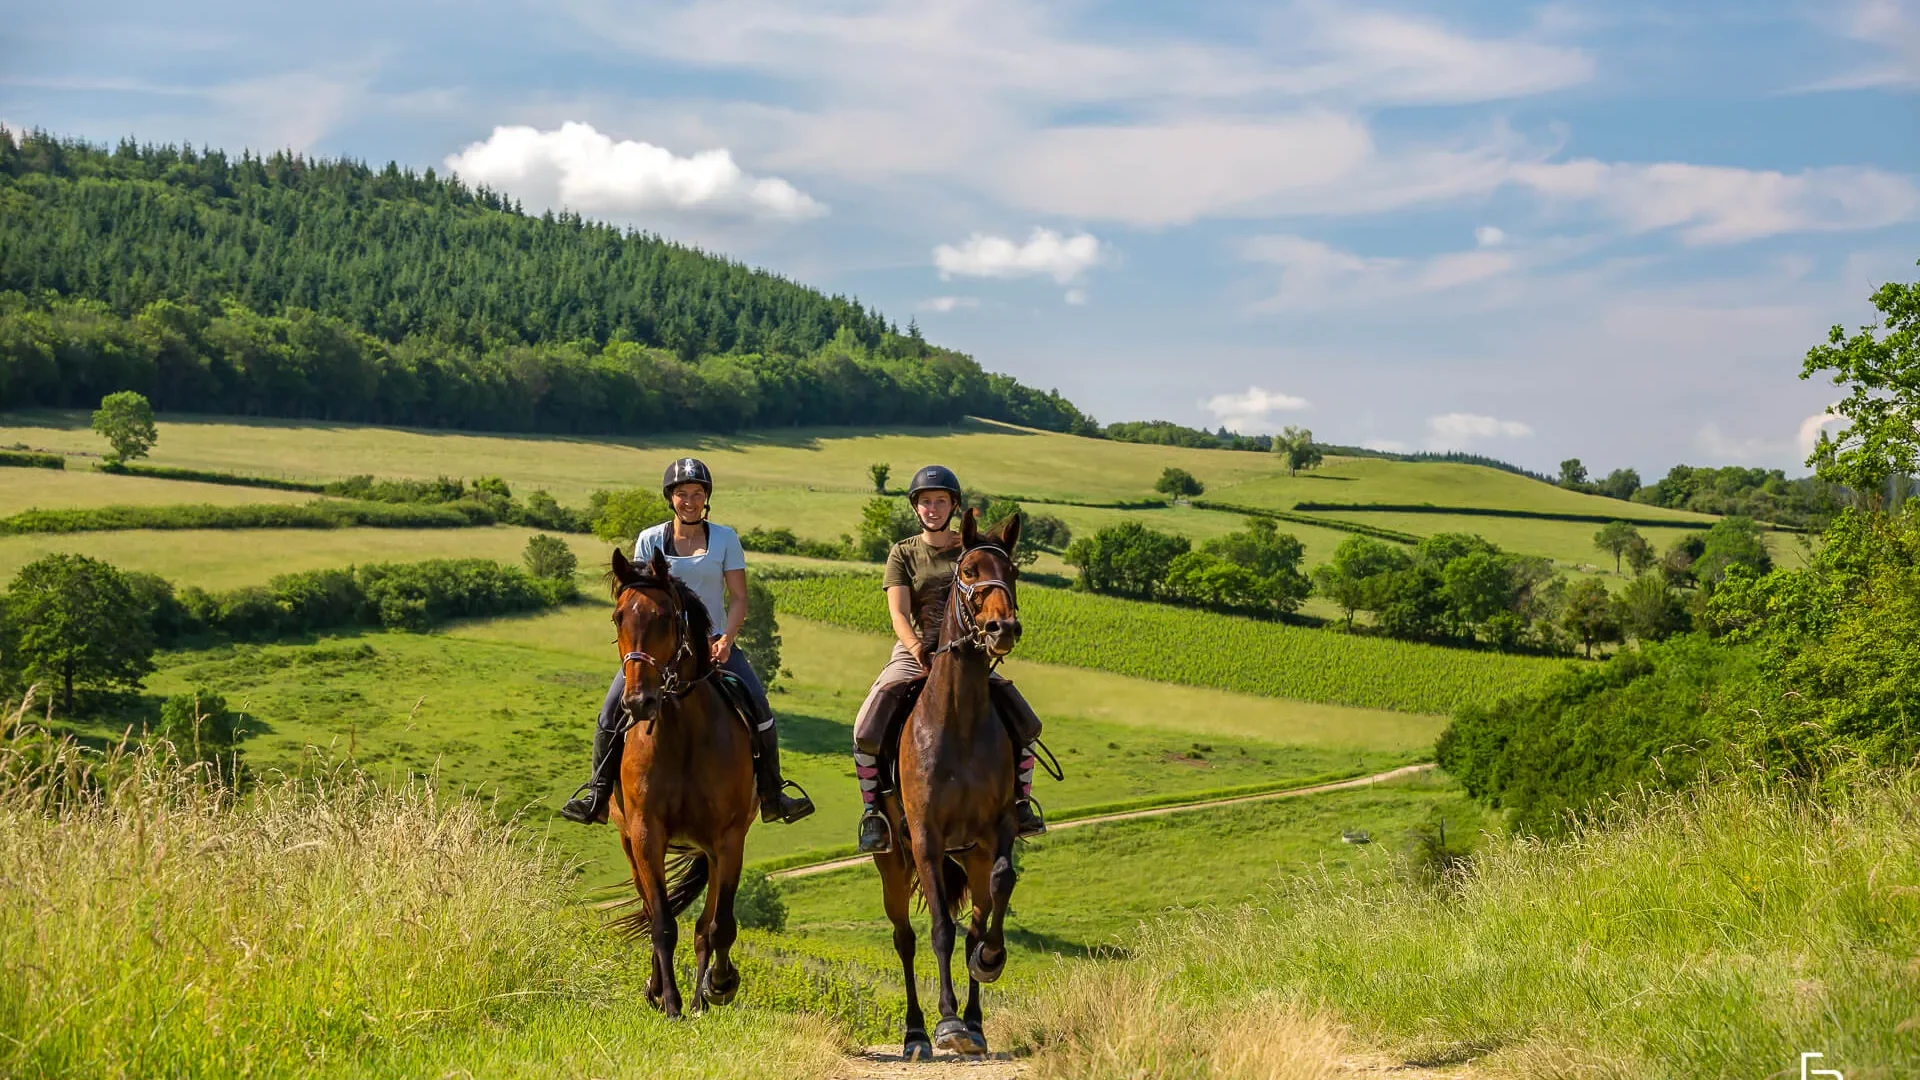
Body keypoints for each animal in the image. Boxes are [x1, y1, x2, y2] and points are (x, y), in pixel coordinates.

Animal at [602, 549, 752, 1014]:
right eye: (618, 618)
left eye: (665, 618)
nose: (639, 702)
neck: (682, 731)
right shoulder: (645, 833)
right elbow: (662, 922)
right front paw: (669, 1002)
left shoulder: (728, 839)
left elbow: (719, 925)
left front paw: (719, 986)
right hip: (629, 843)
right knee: (653, 909)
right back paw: (658, 990)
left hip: (711, 850)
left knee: (707, 925)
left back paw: (704, 996)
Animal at [875, 503, 1021, 1053]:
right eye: (970, 571)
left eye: (1012, 571)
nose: (1002, 628)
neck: (958, 720)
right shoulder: (927, 839)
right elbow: (939, 929)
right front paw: (947, 1023)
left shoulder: (995, 831)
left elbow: (997, 891)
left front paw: (989, 962)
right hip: (893, 862)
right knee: (905, 939)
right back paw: (916, 1031)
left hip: (969, 857)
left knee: (977, 915)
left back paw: (976, 1019)